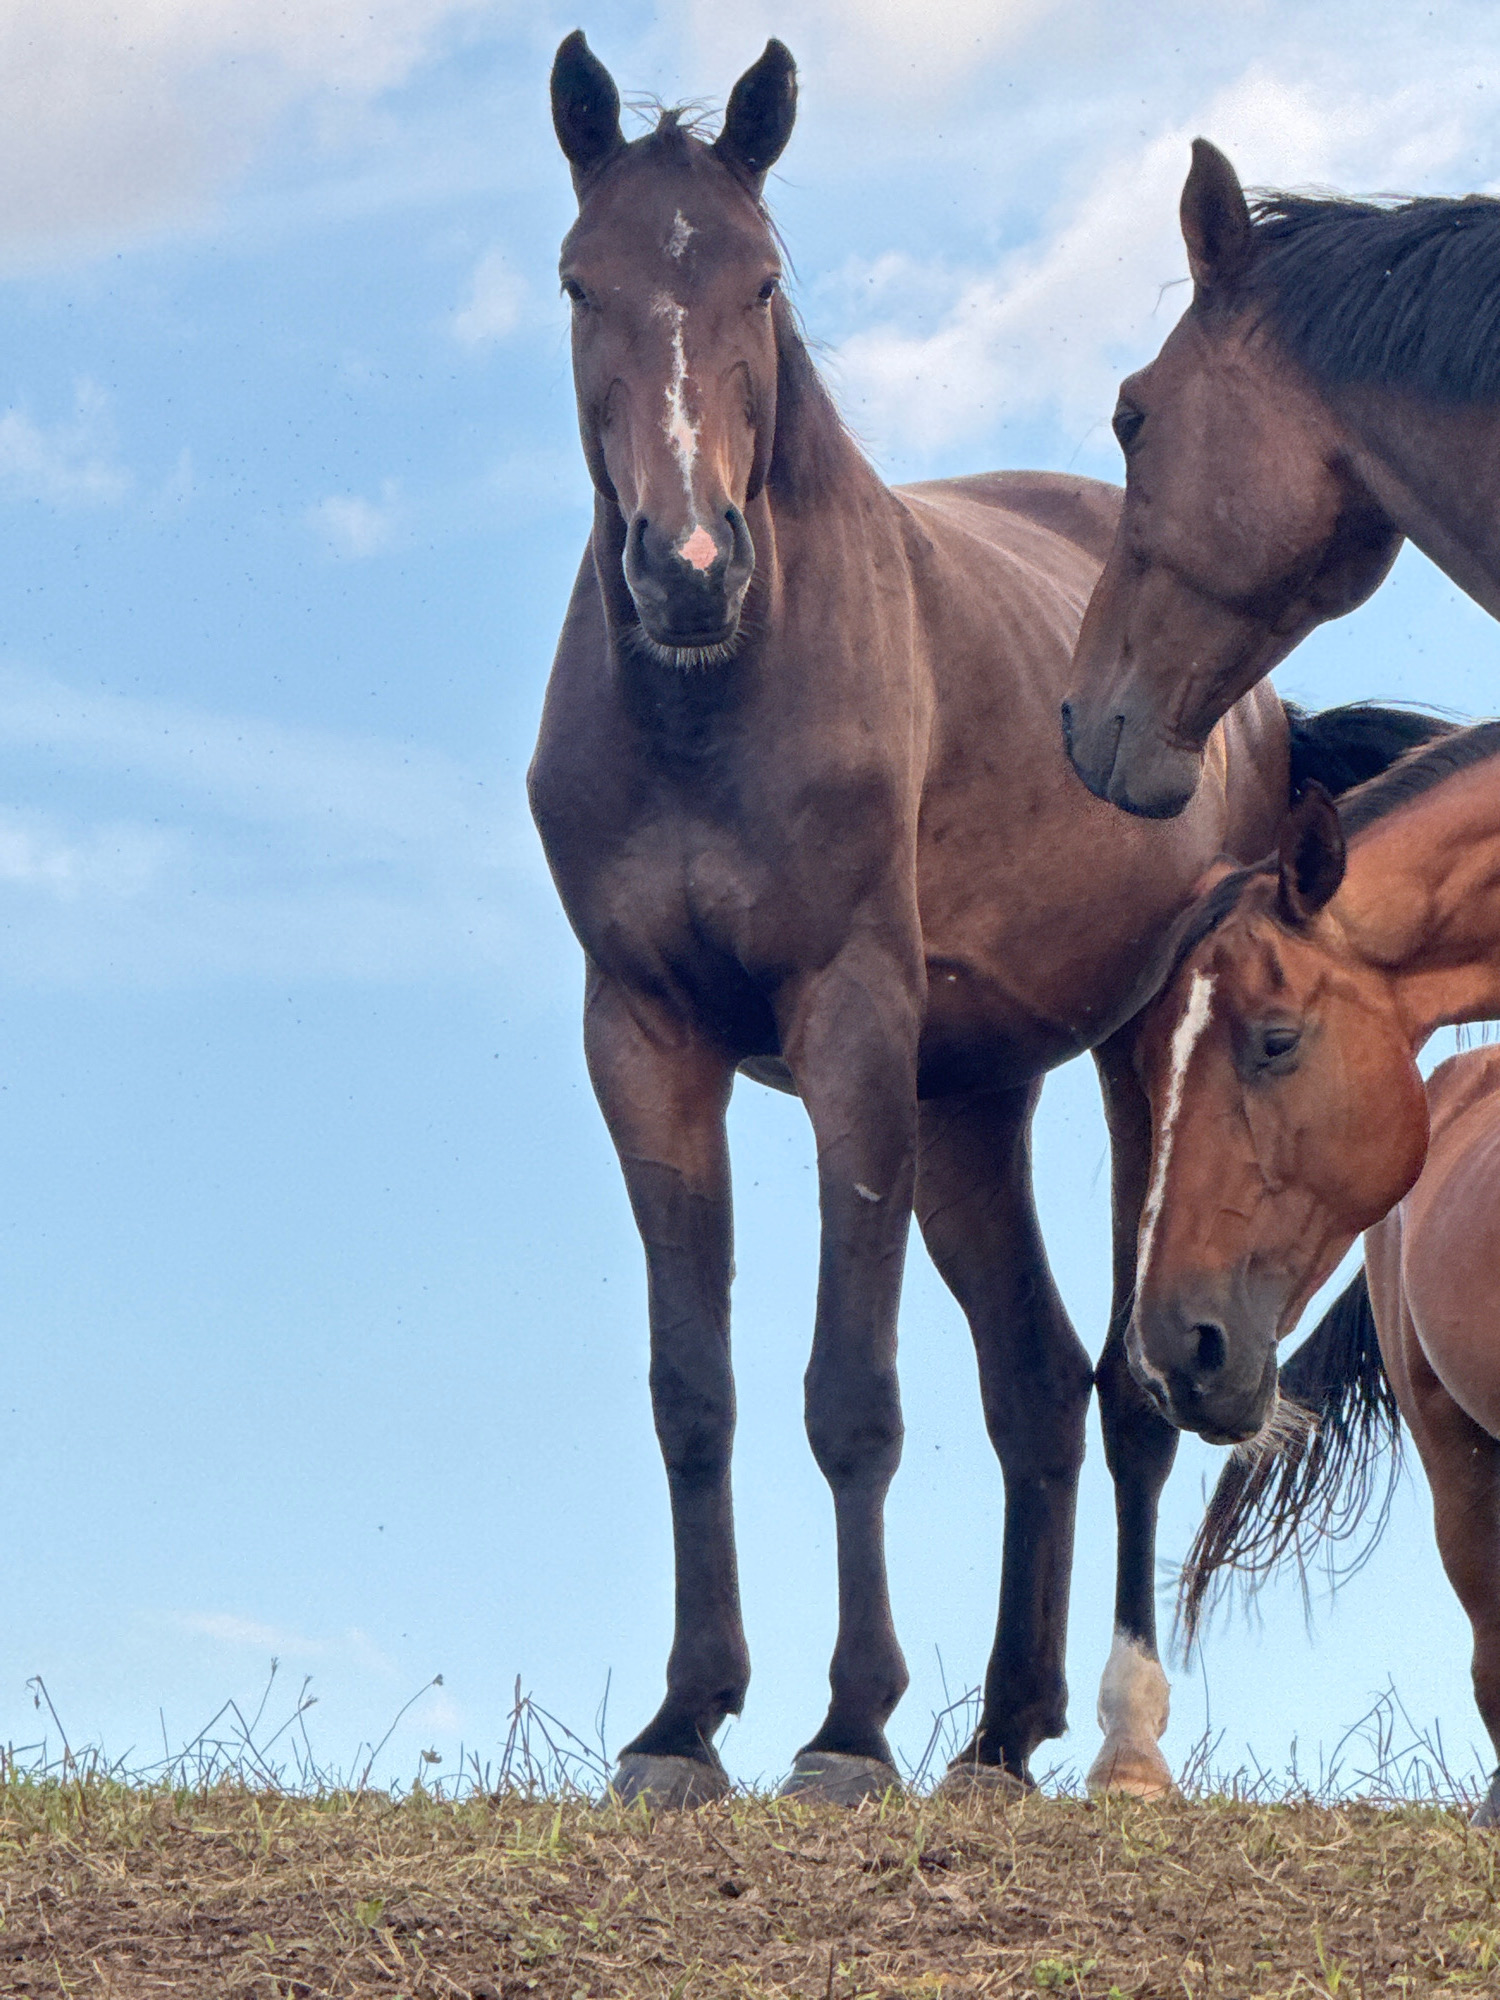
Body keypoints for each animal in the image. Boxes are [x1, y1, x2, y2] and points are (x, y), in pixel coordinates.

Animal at [530, 30, 1437, 1808]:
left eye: (760, 282)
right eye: (579, 280)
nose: (688, 566)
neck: (716, 707)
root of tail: (1255, 714)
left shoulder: (850, 1033)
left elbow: (850, 1394)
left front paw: (846, 1728)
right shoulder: (641, 1037)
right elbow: (694, 1390)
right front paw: (684, 1722)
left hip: (1131, 1068)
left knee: (1132, 1387)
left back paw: (1113, 1738)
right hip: (966, 1103)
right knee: (1034, 1387)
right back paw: (1006, 1730)